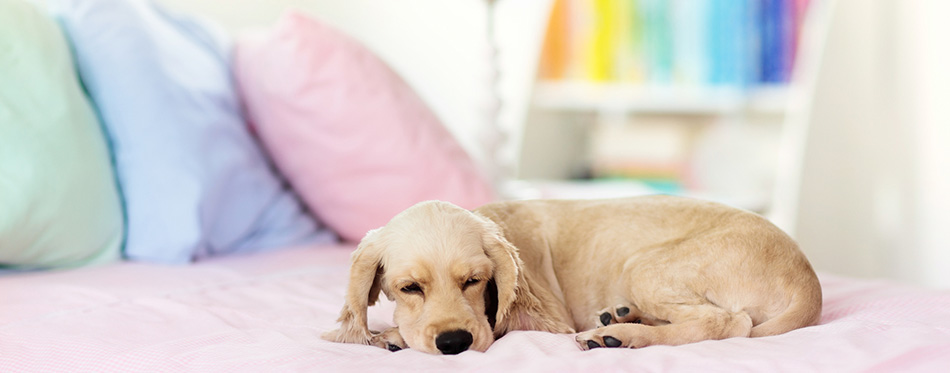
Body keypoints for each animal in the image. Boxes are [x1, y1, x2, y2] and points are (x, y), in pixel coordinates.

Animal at [322, 196, 824, 354]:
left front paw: (394, 336)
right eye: (409, 288)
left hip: (644, 265)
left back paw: (620, 336)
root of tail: (808, 280)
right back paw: (619, 318)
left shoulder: (547, 320)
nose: (453, 344)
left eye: (474, 281)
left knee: (727, 322)